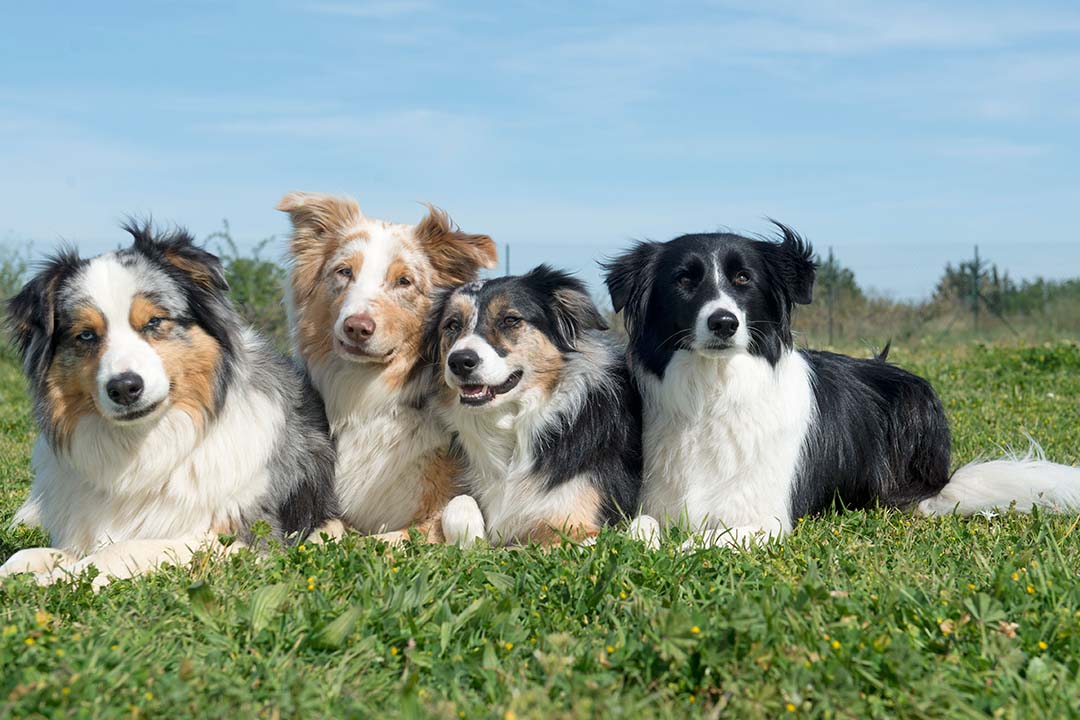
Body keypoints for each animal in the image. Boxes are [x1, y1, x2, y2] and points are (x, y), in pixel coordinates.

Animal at [0, 223, 336, 587]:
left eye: (154, 322)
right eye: (86, 335)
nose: (124, 388)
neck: (145, 448)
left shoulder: (247, 539)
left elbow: (122, 549)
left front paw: (57, 579)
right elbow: (28, 554)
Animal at [278, 191, 496, 539]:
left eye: (404, 280)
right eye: (344, 272)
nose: (356, 327)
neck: (371, 399)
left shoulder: (430, 517)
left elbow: (389, 537)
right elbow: (326, 531)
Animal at [421, 266, 639, 546]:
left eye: (510, 320)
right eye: (452, 324)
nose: (459, 361)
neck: (513, 425)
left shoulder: (579, 525)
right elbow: (458, 502)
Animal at [604, 225, 1080, 546]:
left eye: (743, 279)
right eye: (684, 280)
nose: (724, 322)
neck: (715, 391)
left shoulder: (769, 518)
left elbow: (708, 539)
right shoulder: (656, 503)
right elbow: (640, 529)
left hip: (914, 408)